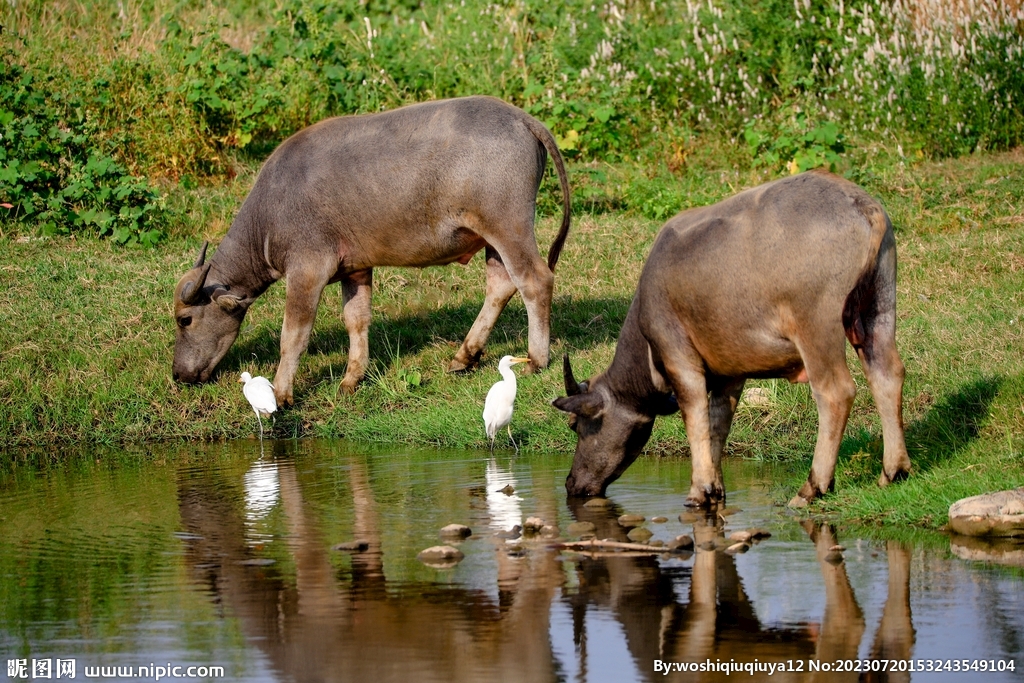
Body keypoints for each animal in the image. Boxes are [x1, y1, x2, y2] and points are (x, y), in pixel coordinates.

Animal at [169, 96, 569, 405]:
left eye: (184, 320)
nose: (177, 374)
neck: (270, 214)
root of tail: (522, 119)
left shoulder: (307, 269)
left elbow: (293, 334)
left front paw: (281, 393)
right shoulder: (355, 269)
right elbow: (356, 319)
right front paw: (352, 378)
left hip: (508, 226)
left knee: (535, 280)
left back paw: (536, 358)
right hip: (490, 238)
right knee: (501, 286)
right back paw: (464, 355)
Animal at [552, 171, 913, 507]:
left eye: (574, 425)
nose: (570, 483)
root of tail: (862, 205)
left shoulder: (678, 356)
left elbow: (695, 417)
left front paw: (699, 490)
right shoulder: (731, 374)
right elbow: (718, 424)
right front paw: (716, 489)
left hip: (816, 327)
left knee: (835, 392)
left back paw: (812, 487)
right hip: (879, 306)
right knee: (887, 374)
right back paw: (894, 471)